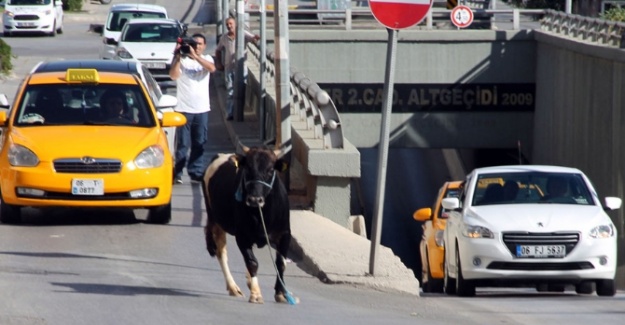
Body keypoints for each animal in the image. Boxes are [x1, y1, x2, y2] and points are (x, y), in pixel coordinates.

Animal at [201, 146, 296, 302]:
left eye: (271, 170)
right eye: (247, 169)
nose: (254, 199)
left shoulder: (285, 234)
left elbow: (281, 263)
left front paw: (281, 293)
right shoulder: (242, 236)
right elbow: (252, 262)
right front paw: (256, 293)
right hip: (215, 219)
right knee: (221, 252)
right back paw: (233, 287)